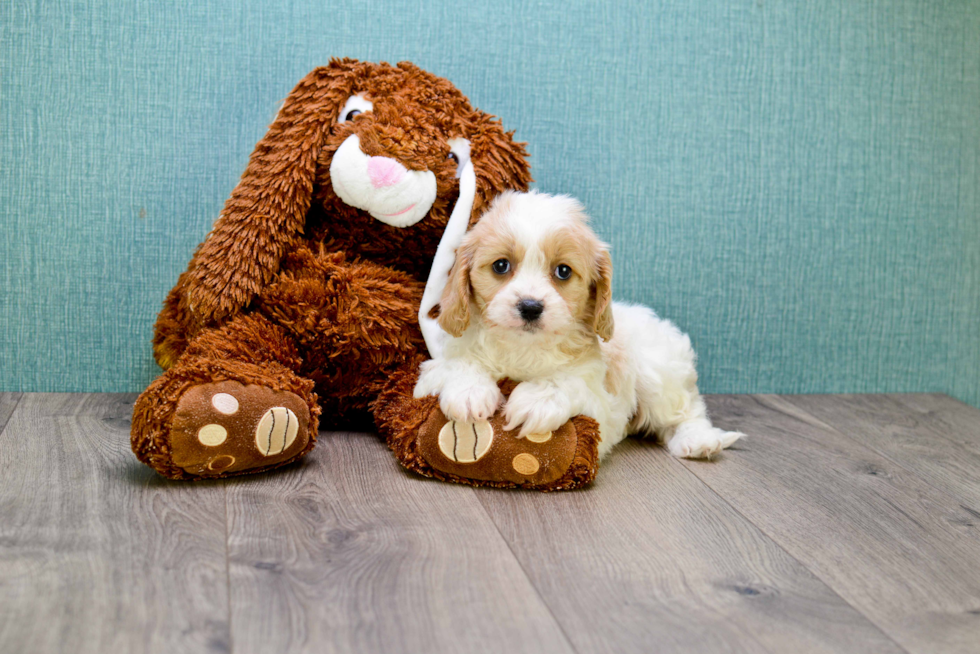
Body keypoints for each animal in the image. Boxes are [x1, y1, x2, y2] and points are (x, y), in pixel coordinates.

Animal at [414, 191, 744, 462]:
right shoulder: (434, 368)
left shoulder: (599, 402)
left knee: (687, 411)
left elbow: (566, 381)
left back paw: (697, 440)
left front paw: (538, 400)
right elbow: (459, 363)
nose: (530, 306)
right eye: (501, 266)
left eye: (563, 271)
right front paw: (469, 391)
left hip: (658, 373)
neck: (523, 348)